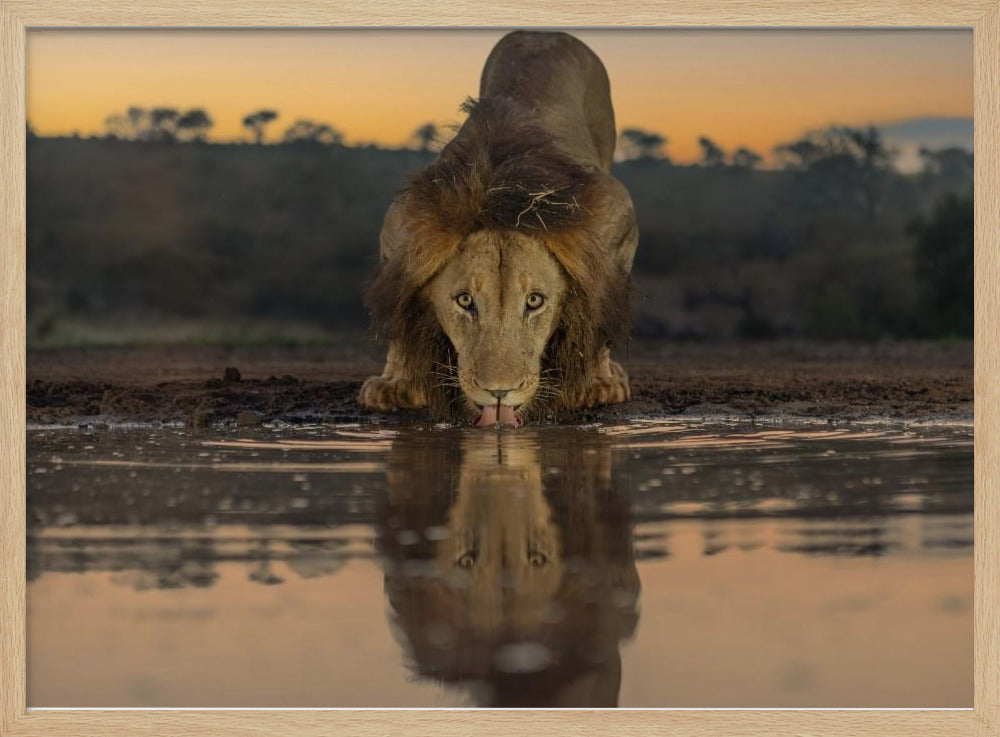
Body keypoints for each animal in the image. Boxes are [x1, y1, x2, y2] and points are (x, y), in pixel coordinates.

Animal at [364, 31, 636, 428]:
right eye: (465, 301)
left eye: (535, 301)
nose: (498, 393)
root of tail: (543, 33)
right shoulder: (399, 230)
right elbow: (400, 311)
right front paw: (396, 385)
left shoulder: (617, 220)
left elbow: (602, 310)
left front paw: (596, 384)